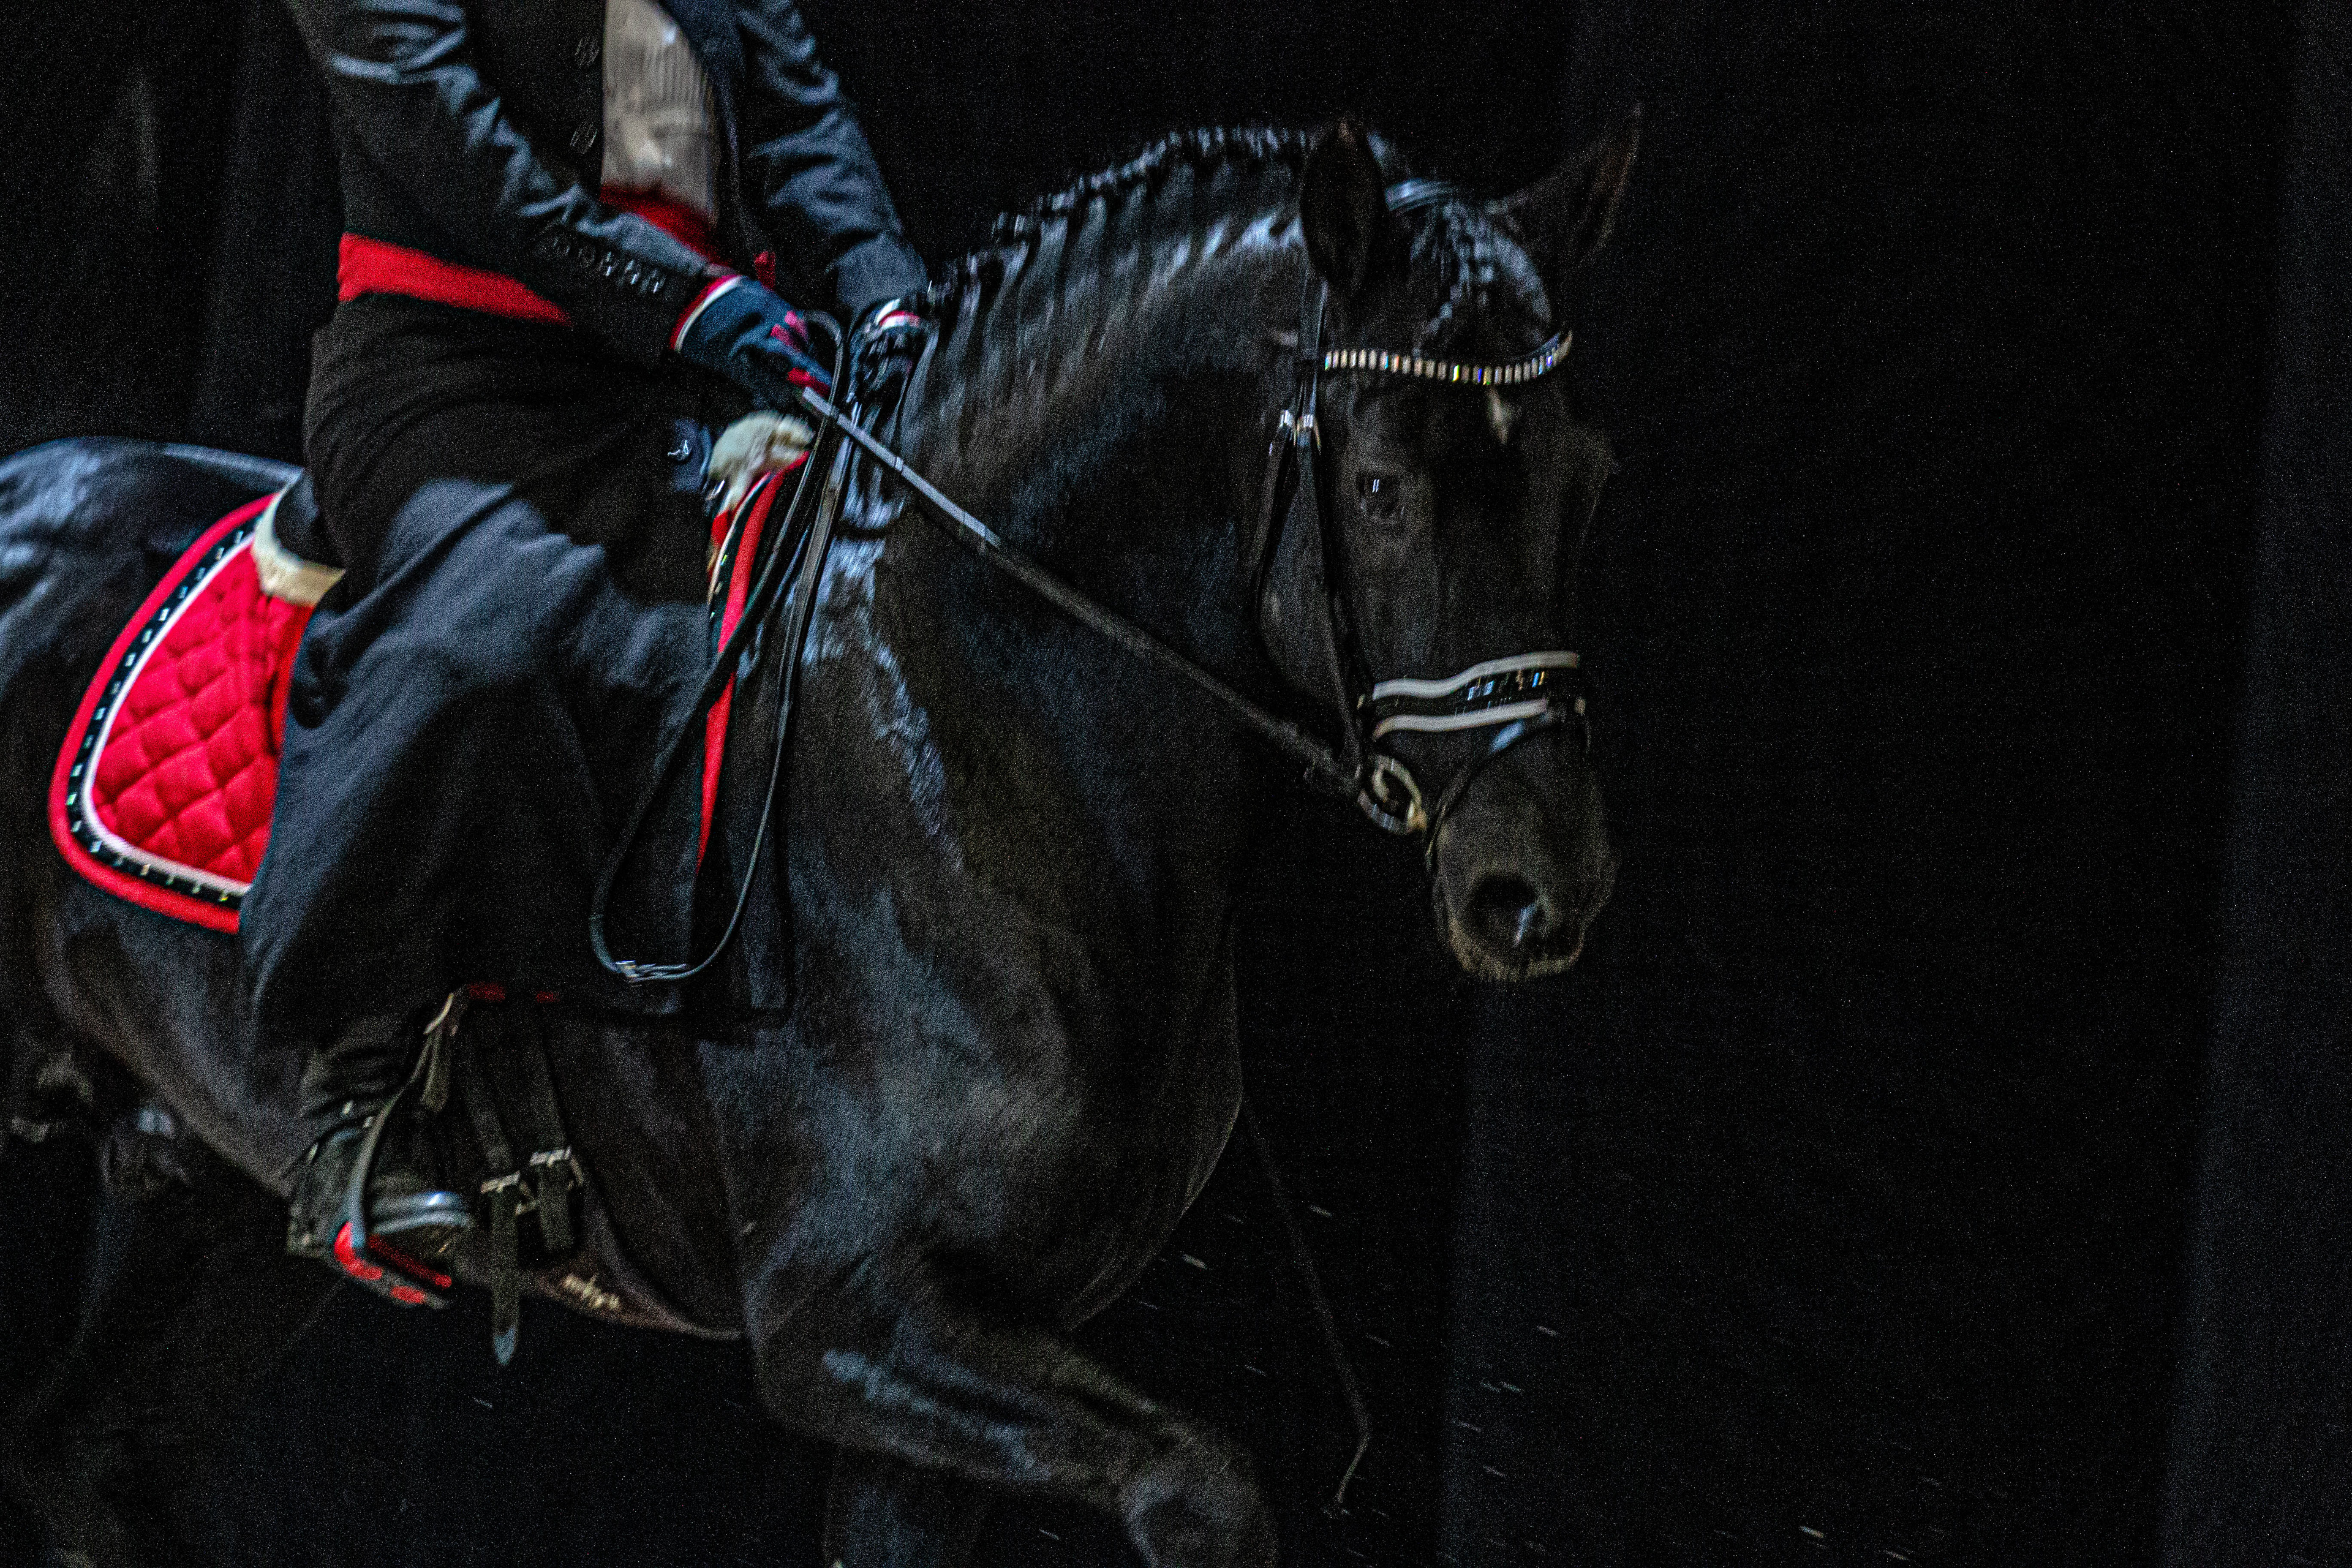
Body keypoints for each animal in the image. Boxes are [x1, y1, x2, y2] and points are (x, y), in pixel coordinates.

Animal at [0, 115, 1634, 1566]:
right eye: (1381, 486)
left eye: (1581, 480)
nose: (1536, 890)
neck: (963, 716)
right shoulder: (848, 1319)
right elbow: (1205, 1488)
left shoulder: (953, 1359)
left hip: (213, 1208)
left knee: (85, 1462)